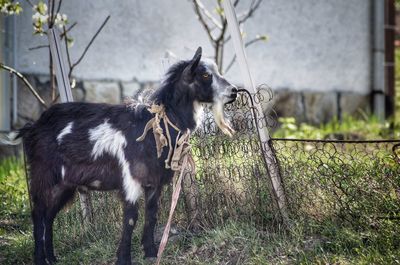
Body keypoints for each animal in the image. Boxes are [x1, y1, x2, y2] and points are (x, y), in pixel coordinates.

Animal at [15, 47, 238, 264]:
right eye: (205, 74)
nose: (234, 91)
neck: (156, 124)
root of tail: (32, 128)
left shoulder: (154, 182)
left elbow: (152, 215)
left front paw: (151, 253)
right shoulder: (131, 180)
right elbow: (131, 218)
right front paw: (124, 258)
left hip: (64, 184)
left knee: (49, 215)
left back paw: (51, 258)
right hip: (44, 176)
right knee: (39, 214)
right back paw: (40, 259)